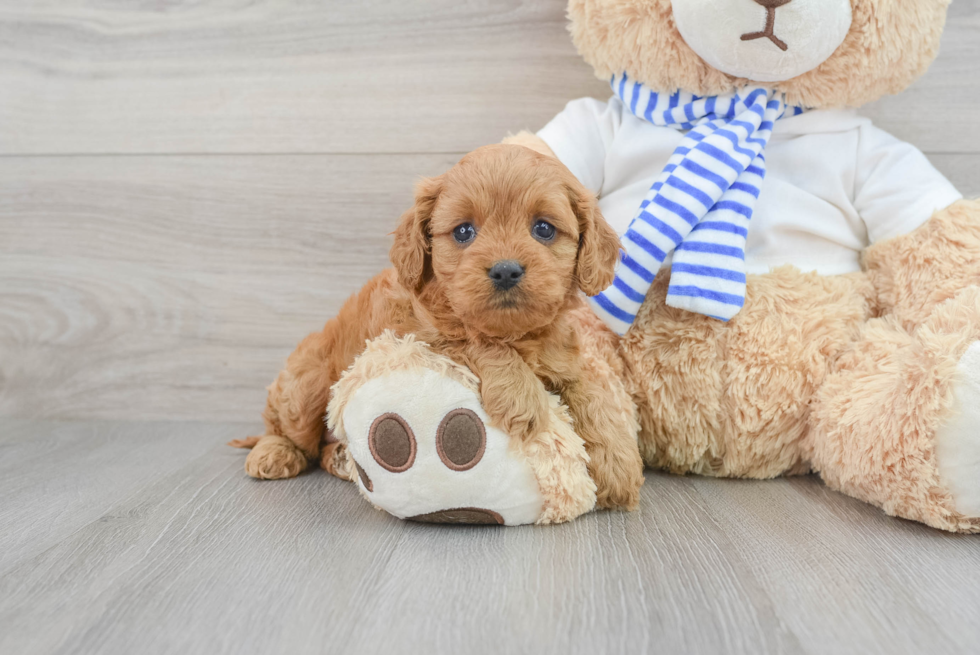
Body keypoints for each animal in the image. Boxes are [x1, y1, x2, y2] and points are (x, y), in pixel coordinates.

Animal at [229, 144, 644, 510]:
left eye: (543, 228)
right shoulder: (418, 335)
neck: (514, 333)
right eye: (463, 232)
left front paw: (618, 465)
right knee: (291, 432)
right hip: (306, 382)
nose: (505, 270)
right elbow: (476, 342)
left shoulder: (563, 357)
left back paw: (341, 458)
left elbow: (593, 393)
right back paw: (274, 452)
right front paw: (520, 396)